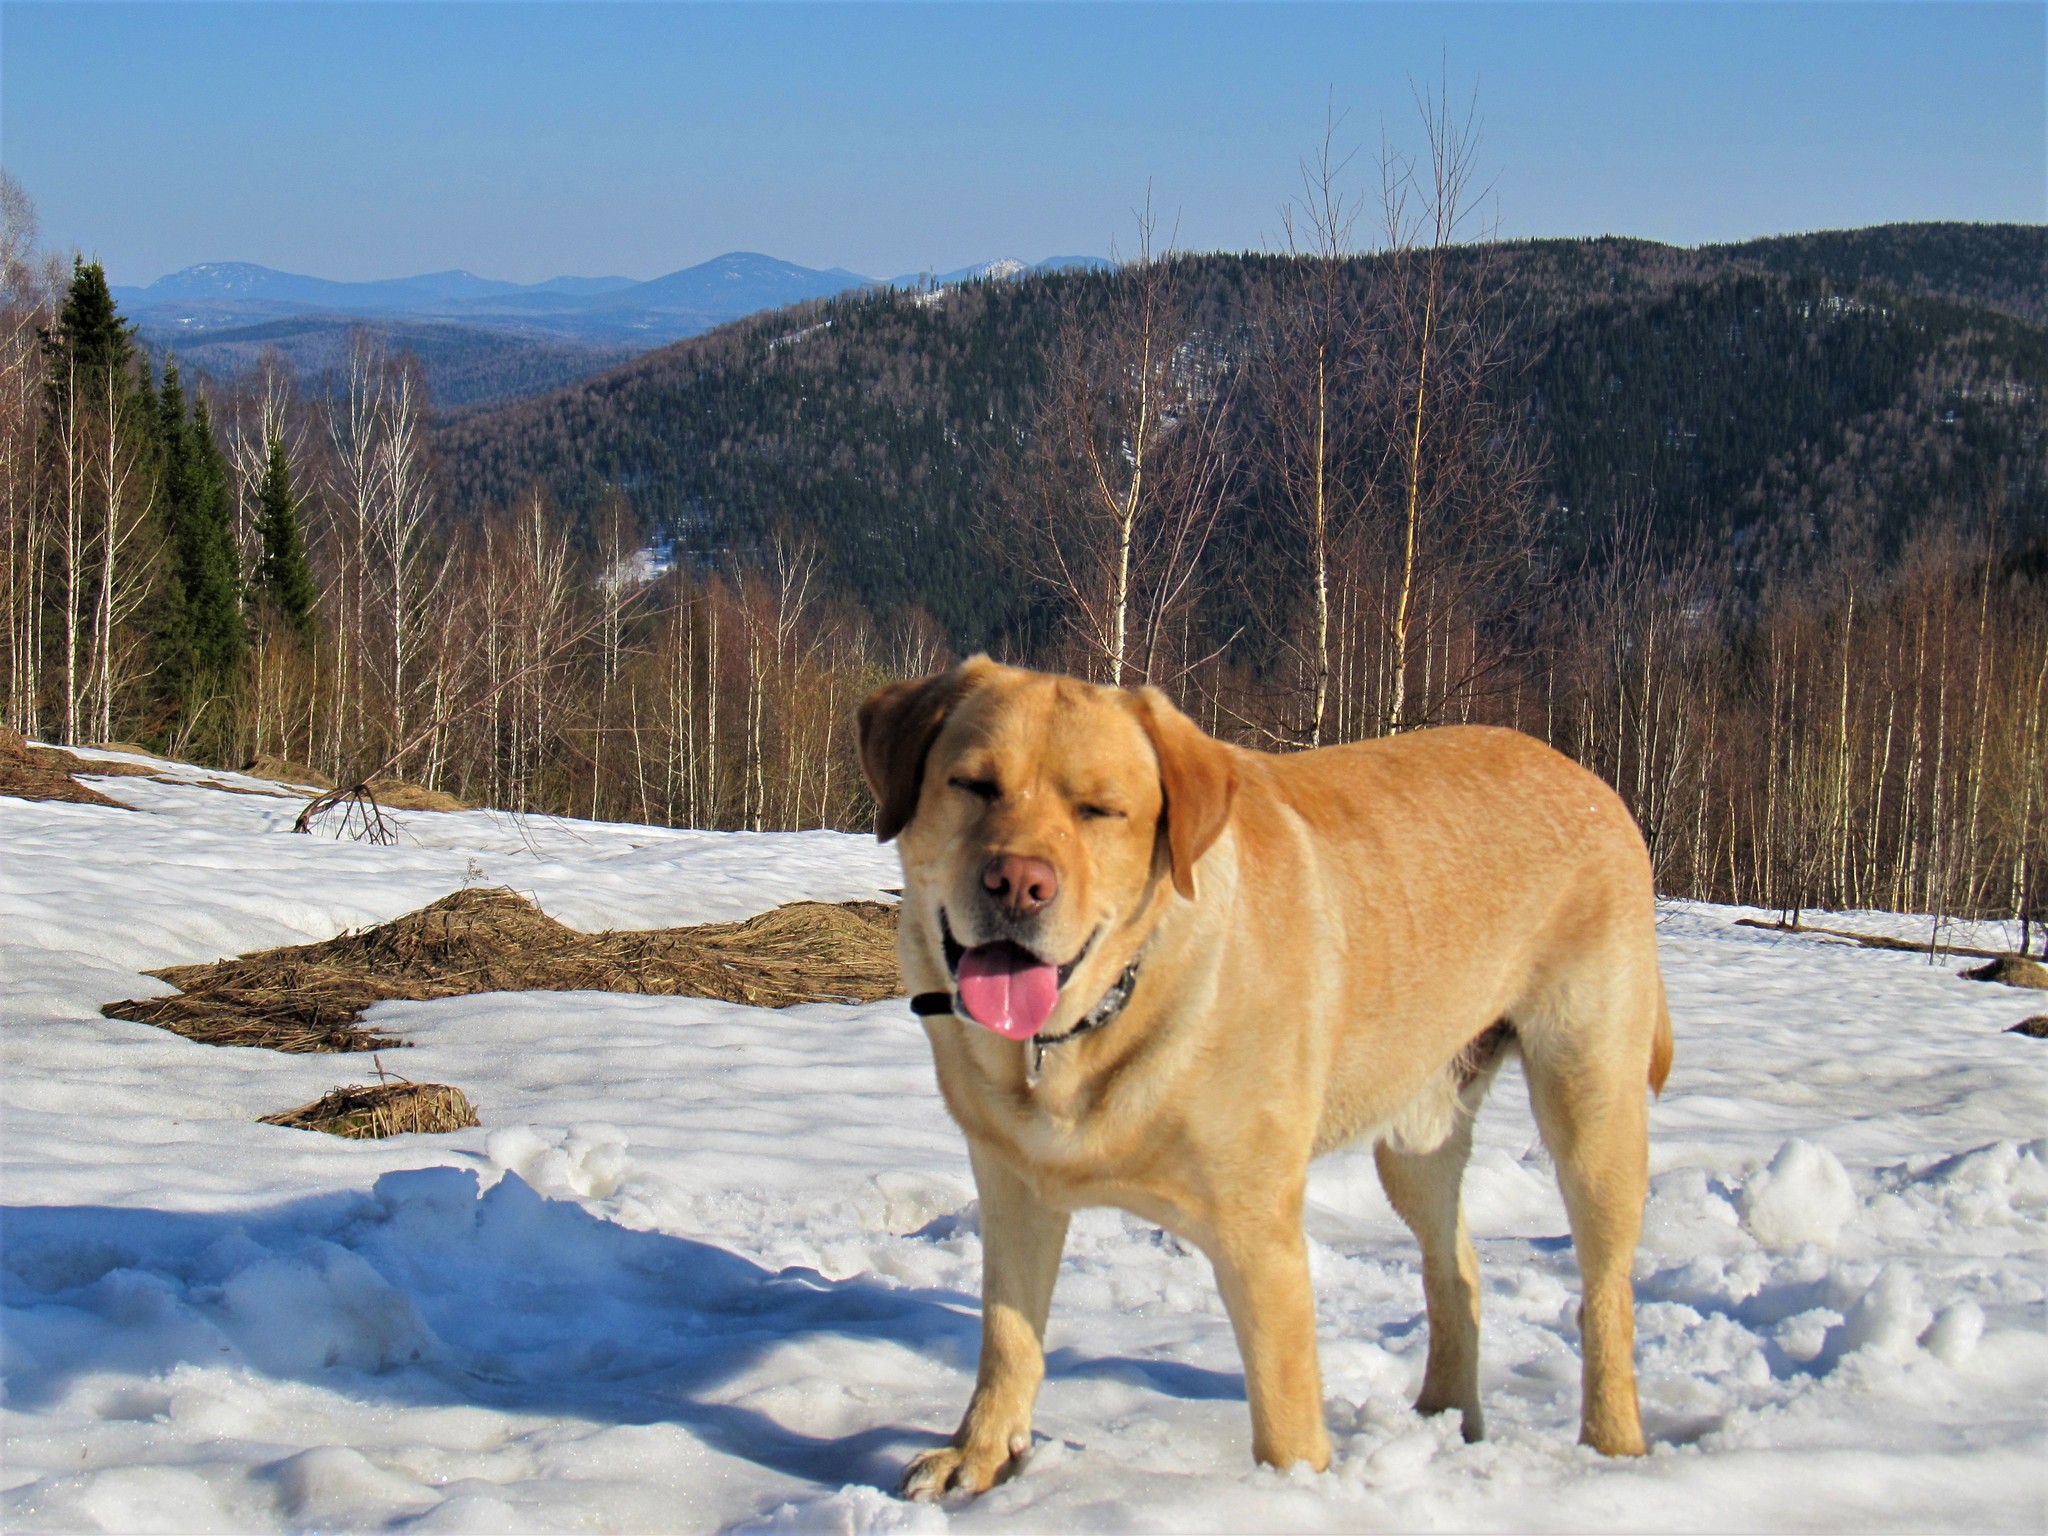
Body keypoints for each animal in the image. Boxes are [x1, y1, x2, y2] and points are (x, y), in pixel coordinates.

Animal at [856, 663, 1671, 1507]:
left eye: (1100, 809)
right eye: (973, 785)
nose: (1018, 882)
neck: (1097, 1021)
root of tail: (1588, 777)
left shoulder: (1259, 1231)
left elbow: (1285, 1412)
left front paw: (1294, 1496)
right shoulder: (1014, 1183)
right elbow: (1008, 1334)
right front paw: (979, 1455)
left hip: (1590, 1104)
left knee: (1605, 1295)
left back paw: (1611, 1449)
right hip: (1417, 1134)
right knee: (1457, 1270)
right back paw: (1446, 1417)